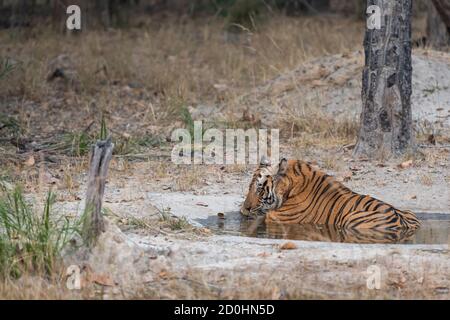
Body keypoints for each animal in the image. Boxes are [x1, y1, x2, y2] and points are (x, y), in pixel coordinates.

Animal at [243, 158, 422, 232]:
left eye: (259, 188)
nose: (245, 209)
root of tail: (405, 222)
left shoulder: (278, 217)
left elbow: (262, 216)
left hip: (350, 218)